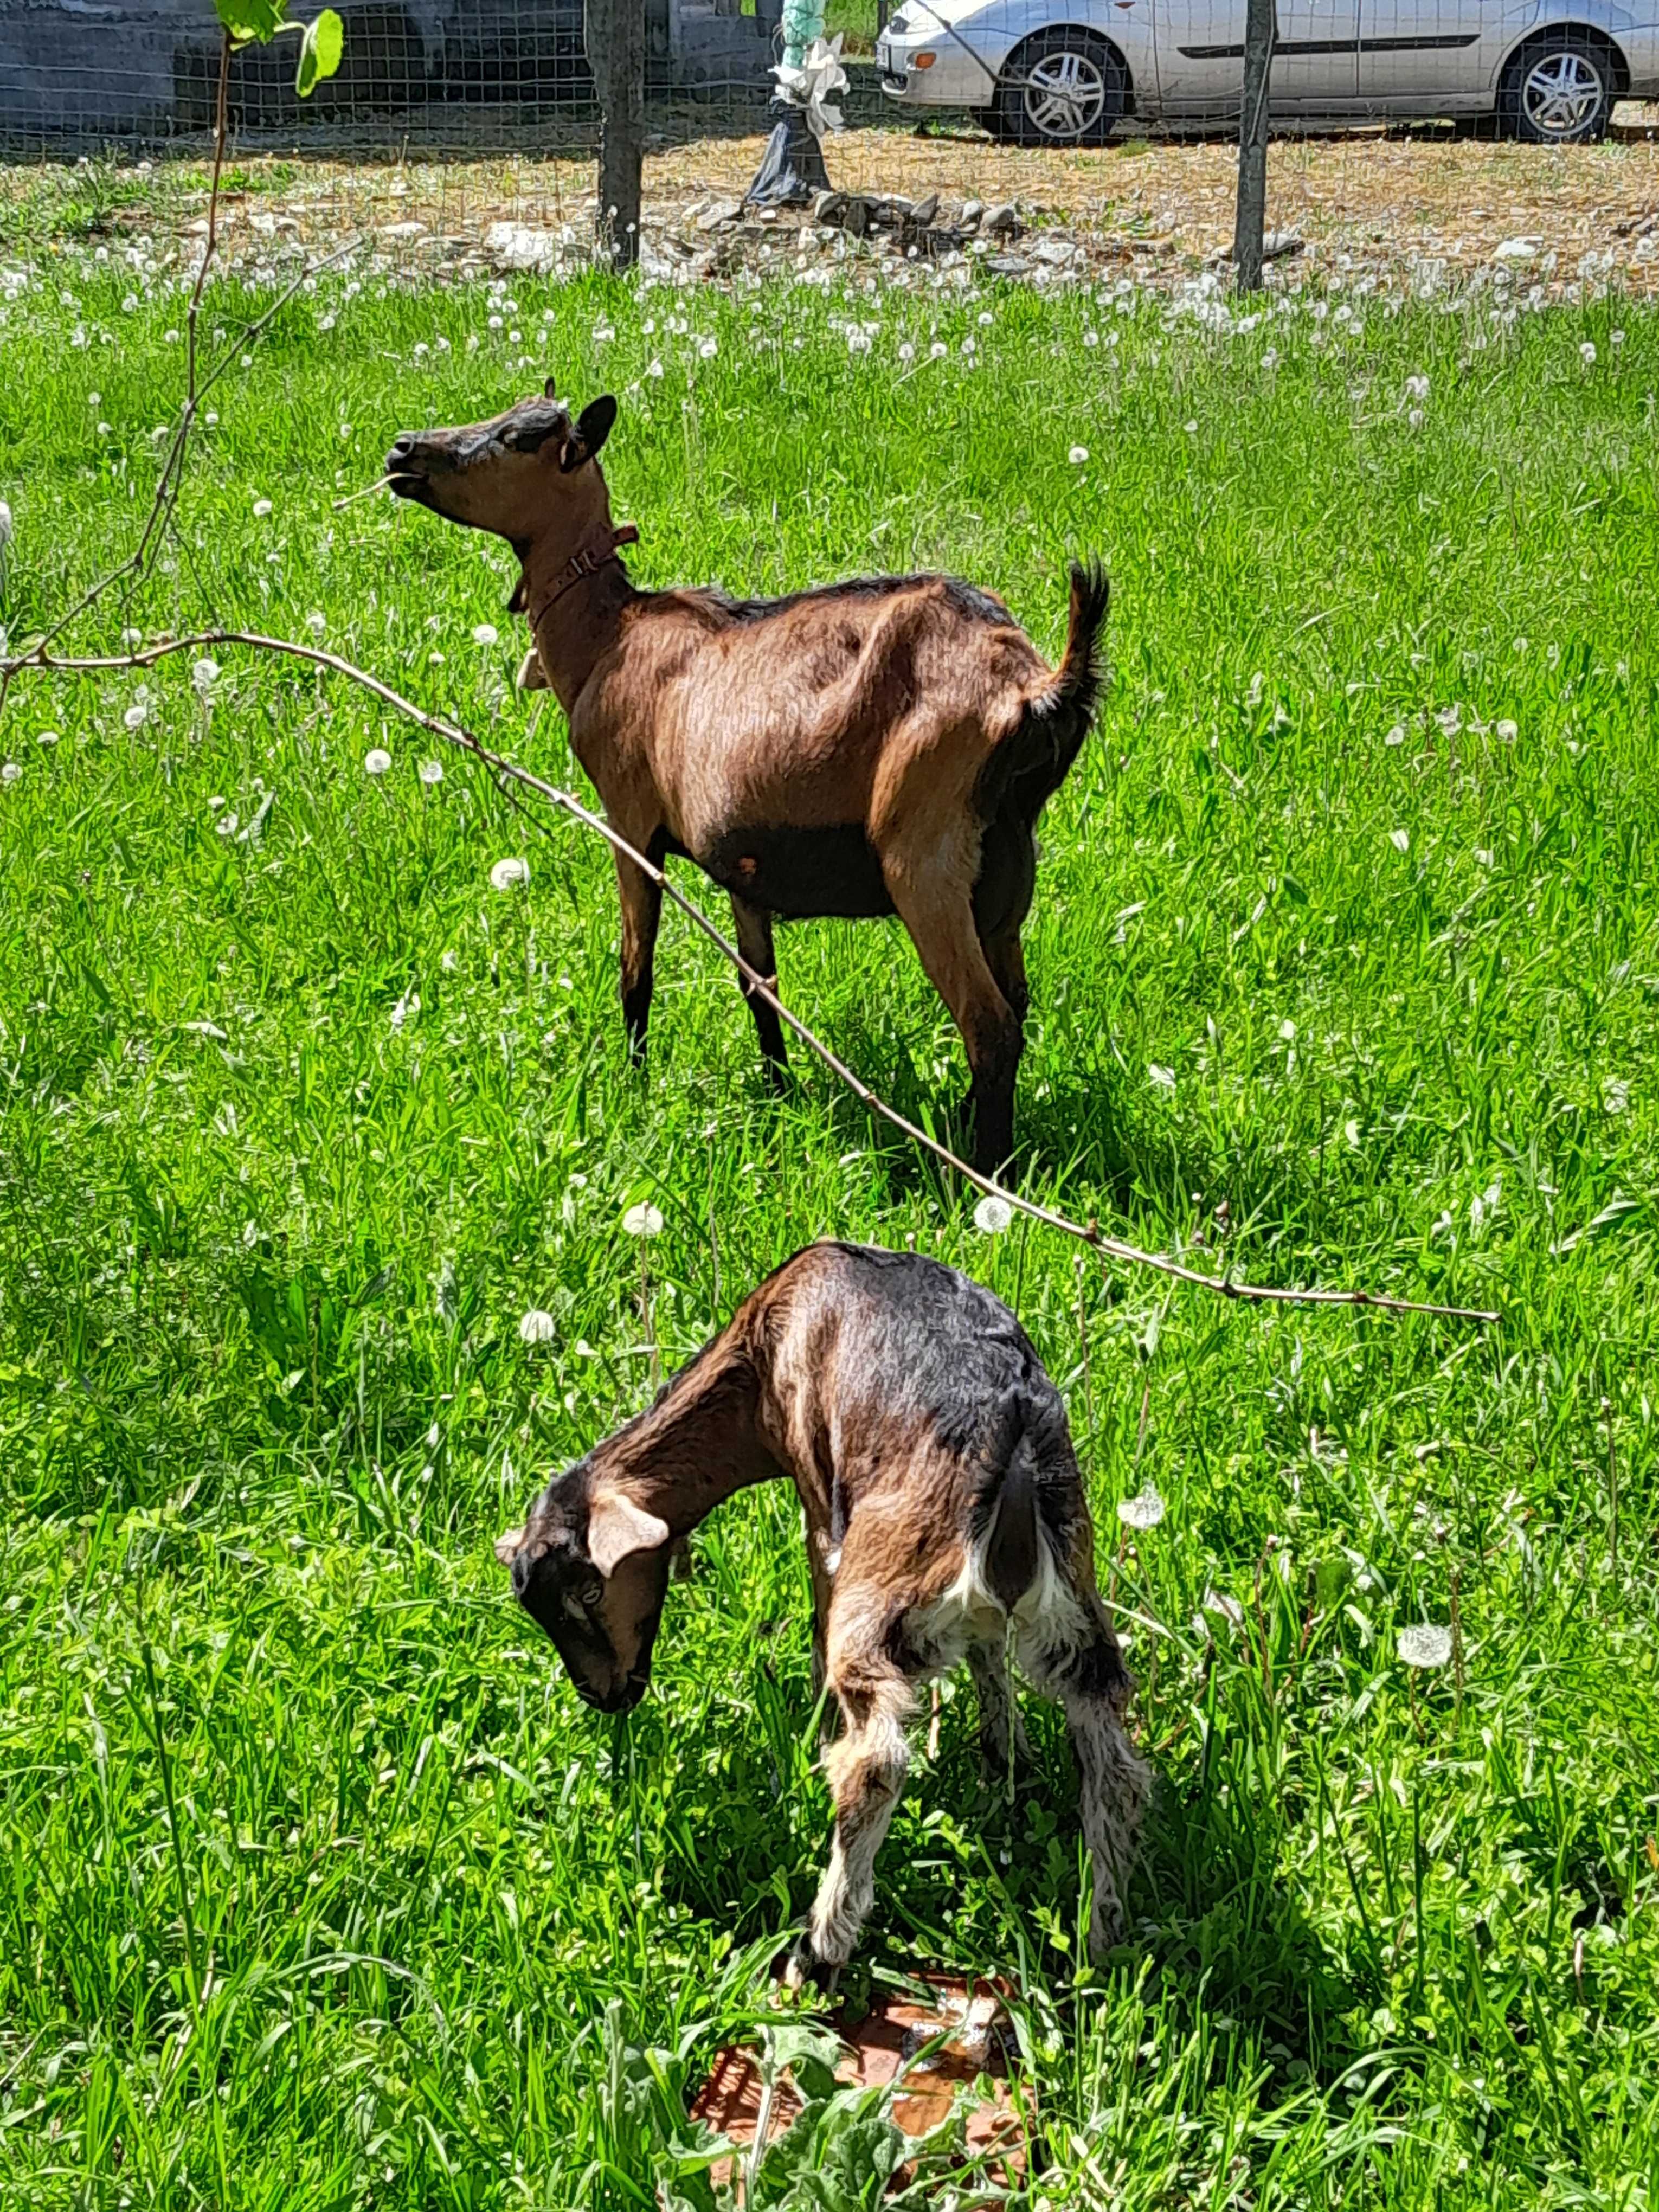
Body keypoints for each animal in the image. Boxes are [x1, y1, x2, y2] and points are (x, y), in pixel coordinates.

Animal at [389, 380, 1110, 1176]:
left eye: (518, 438)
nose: (402, 451)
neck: (610, 637)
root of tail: (1033, 686)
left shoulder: (629, 818)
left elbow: (635, 965)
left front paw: (634, 1087)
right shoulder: (742, 856)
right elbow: (759, 985)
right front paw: (778, 1094)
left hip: (924, 849)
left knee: (990, 1025)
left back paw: (979, 1176)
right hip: (1006, 865)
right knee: (1017, 1000)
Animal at [486, 1248, 1150, 1991]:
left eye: (589, 1592)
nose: (603, 1695)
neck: (757, 1353)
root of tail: (1014, 1448)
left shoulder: (816, 1490)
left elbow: (817, 1608)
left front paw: (815, 1729)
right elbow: (985, 1653)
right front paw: (1004, 1763)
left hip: (882, 1592)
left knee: (876, 1761)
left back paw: (819, 1947)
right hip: (1075, 1603)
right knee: (1112, 1757)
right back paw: (1103, 1941)